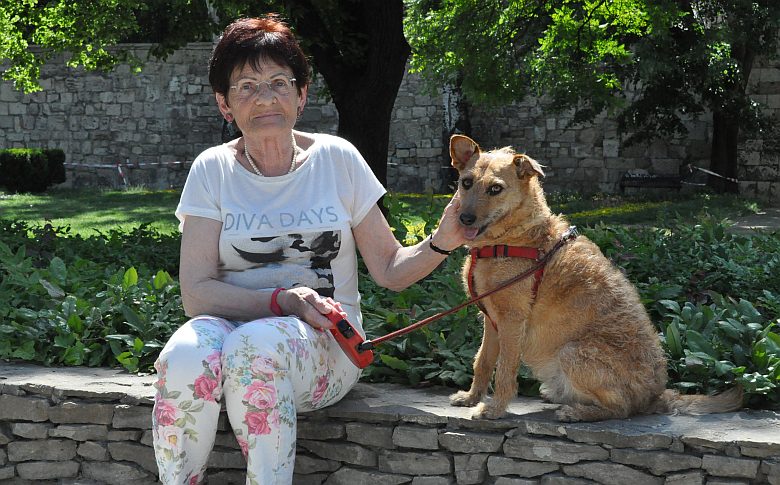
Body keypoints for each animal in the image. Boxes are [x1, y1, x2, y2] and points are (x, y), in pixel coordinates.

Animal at [447, 134, 742, 422]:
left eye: (495, 189)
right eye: (466, 182)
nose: (465, 219)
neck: (515, 237)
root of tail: (655, 396)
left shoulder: (511, 320)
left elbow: (505, 370)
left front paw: (495, 409)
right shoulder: (492, 320)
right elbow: (483, 361)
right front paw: (471, 397)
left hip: (571, 352)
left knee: (621, 409)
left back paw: (575, 412)